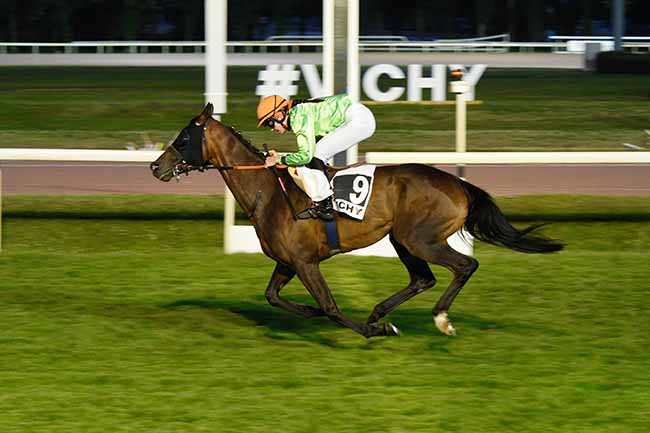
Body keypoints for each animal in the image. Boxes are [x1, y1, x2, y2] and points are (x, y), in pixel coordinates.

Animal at [149, 104, 560, 338]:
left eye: (183, 138)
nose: (155, 167)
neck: (269, 191)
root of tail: (458, 183)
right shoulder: (288, 261)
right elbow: (273, 296)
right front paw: (314, 312)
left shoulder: (305, 262)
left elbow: (331, 307)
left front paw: (372, 330)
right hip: (401, 239)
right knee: (423, 278)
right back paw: (382, 311)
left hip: (421, 238)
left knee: (465, 265)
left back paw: (439, 318)